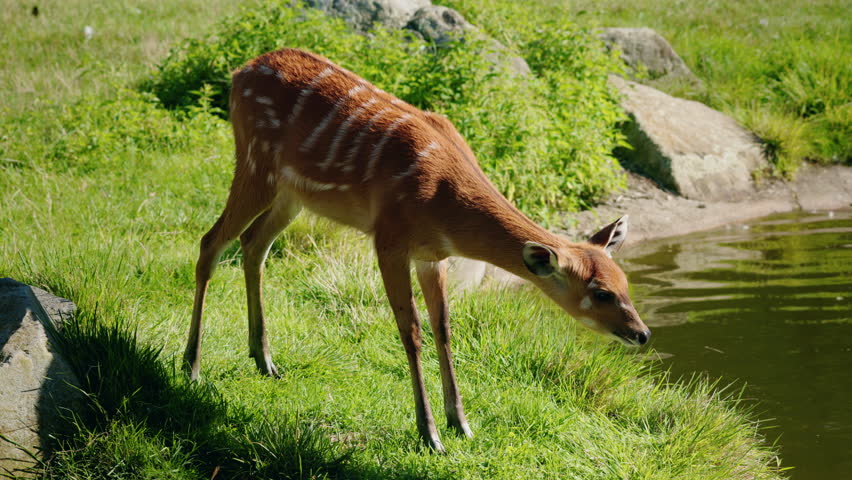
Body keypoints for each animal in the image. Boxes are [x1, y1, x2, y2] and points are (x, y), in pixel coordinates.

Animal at [183, 48, 650, 453]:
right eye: (601, 293)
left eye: (626, 282)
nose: (642, 333)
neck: (444, 201)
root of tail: (239, 72)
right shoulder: (389, 238)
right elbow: (411, 332)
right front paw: (431, 435)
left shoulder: (431, 255)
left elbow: (443, 327)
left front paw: (461, 423)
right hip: (254, 161)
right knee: (211, 242)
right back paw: (192, 367)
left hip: (291, 194)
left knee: (253, 244)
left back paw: (264, 359)